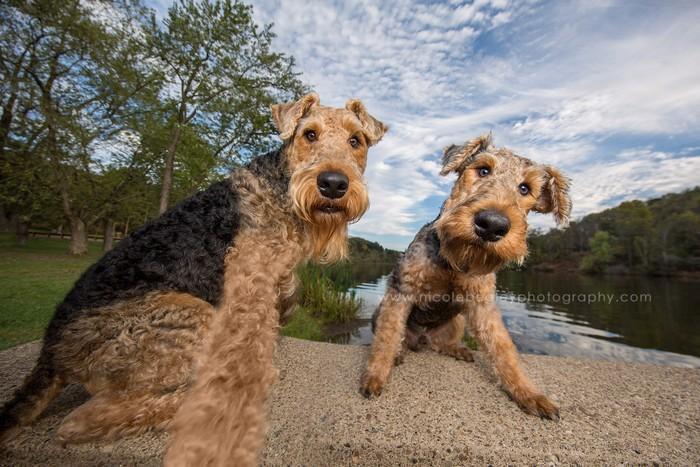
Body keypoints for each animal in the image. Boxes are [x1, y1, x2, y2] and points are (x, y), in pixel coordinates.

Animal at [0, 93, 388, 466]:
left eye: (356, 140)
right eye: (309, 134)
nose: (333, 184)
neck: (281, 186)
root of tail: (50, 355)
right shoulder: (252, 284)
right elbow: (249, 347)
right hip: (192, 318)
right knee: (79, 421)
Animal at [360, 134, 568, 420]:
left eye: (525, 188)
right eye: (483, 170)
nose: (492, 224)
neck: (454, 262)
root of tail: (421, 338)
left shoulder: (482, 305)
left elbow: (504, 350)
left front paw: (530, 394)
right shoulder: (402, 290)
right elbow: (387, 337)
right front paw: (375, 377)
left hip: (456, 321)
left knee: (439, 343)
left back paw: (457, 349)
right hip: (383, 311)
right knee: (397, 337)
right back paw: (399, 354)